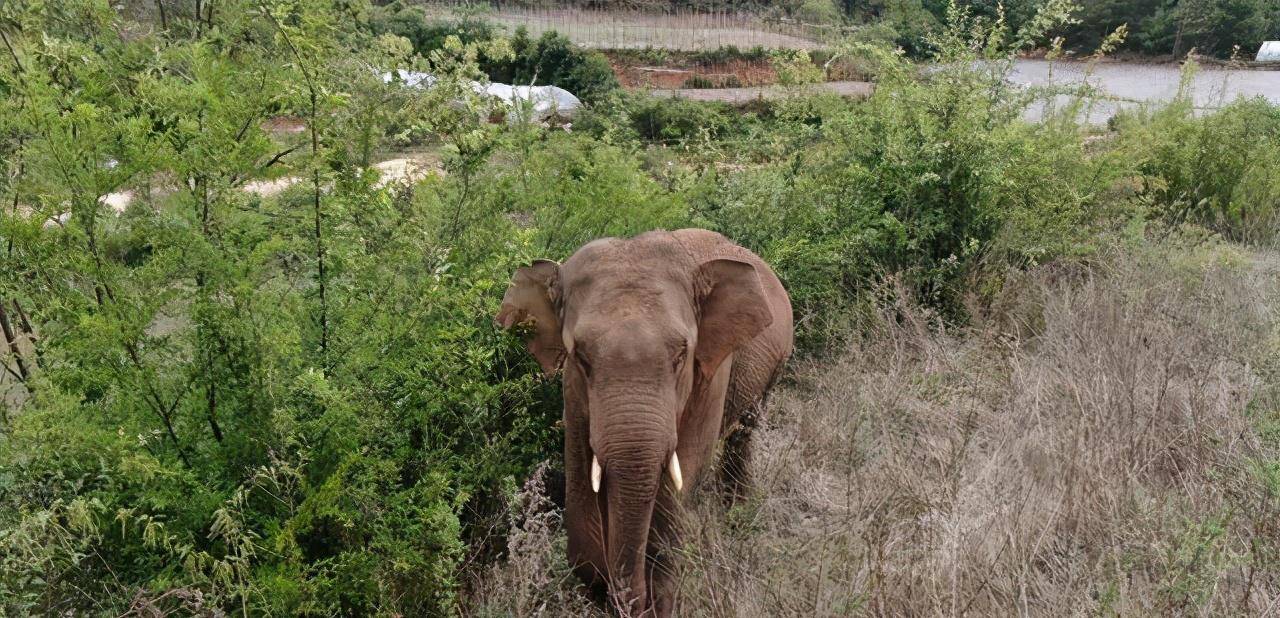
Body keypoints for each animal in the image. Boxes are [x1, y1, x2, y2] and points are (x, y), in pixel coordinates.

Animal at [491, 230, 783, 616]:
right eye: (581, 356)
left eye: (681, 355)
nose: (634, 606)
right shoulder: (574, 392)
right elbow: (582, 477)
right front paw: (599, 589)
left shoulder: (710, 374)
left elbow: (682, 474)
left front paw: (661, 597)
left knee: (742, 437)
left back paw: (735, 514)